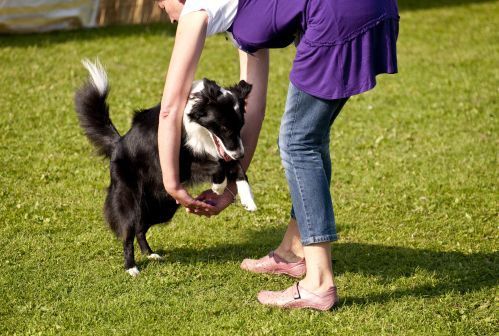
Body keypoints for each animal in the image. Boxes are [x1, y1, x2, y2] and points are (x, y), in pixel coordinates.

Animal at [74, 60, 258, 276]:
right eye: (225, 128)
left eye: (240, 126)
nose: (241, 154)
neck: (195, 127)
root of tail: (118, 144)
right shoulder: (179, 164)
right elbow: (217, 164)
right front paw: (218, 187)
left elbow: (234, 166)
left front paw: (248, 199)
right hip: (129, 199)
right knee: (128, 232)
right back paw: (131, 267)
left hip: (162, 206)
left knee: (140, 228)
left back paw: (150, 253)